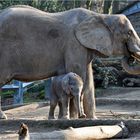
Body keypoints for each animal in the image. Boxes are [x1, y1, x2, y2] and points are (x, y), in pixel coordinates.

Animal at [0, 5, 140, 118]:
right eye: (129, 33)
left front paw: (91, 119)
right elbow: (78, 72)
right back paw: (3, 117)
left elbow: (88, 81)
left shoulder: (84, 46)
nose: (130, 57)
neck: (101, 16)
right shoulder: (74, 43)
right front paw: (74, 118)